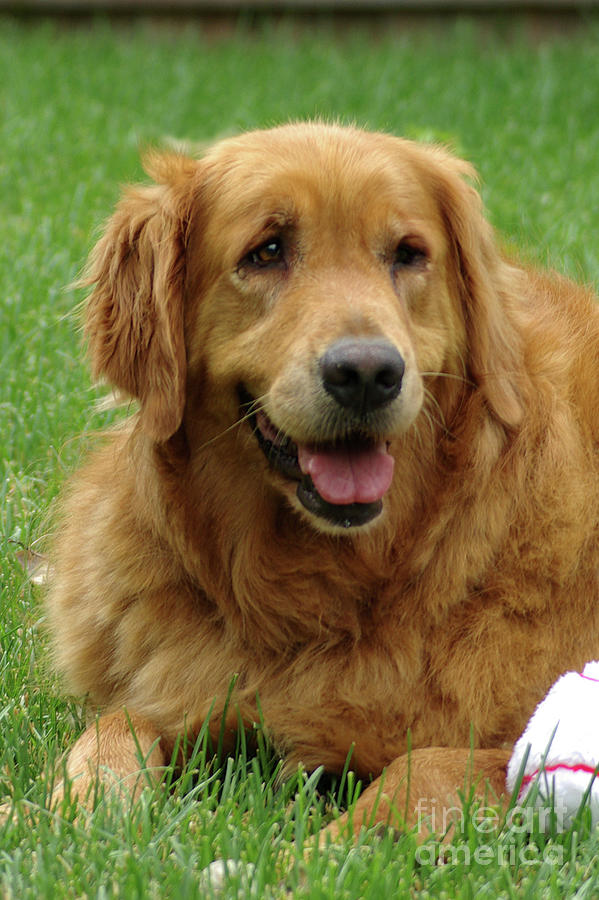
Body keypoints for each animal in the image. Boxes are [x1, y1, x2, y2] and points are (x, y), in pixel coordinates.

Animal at [44, 125, 599, 836]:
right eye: (267, 252)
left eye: (408, 253)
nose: (366, 374)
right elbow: (114, 727)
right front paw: (78, 812)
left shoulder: (498, 747)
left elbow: (424, 770)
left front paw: (311, 851)